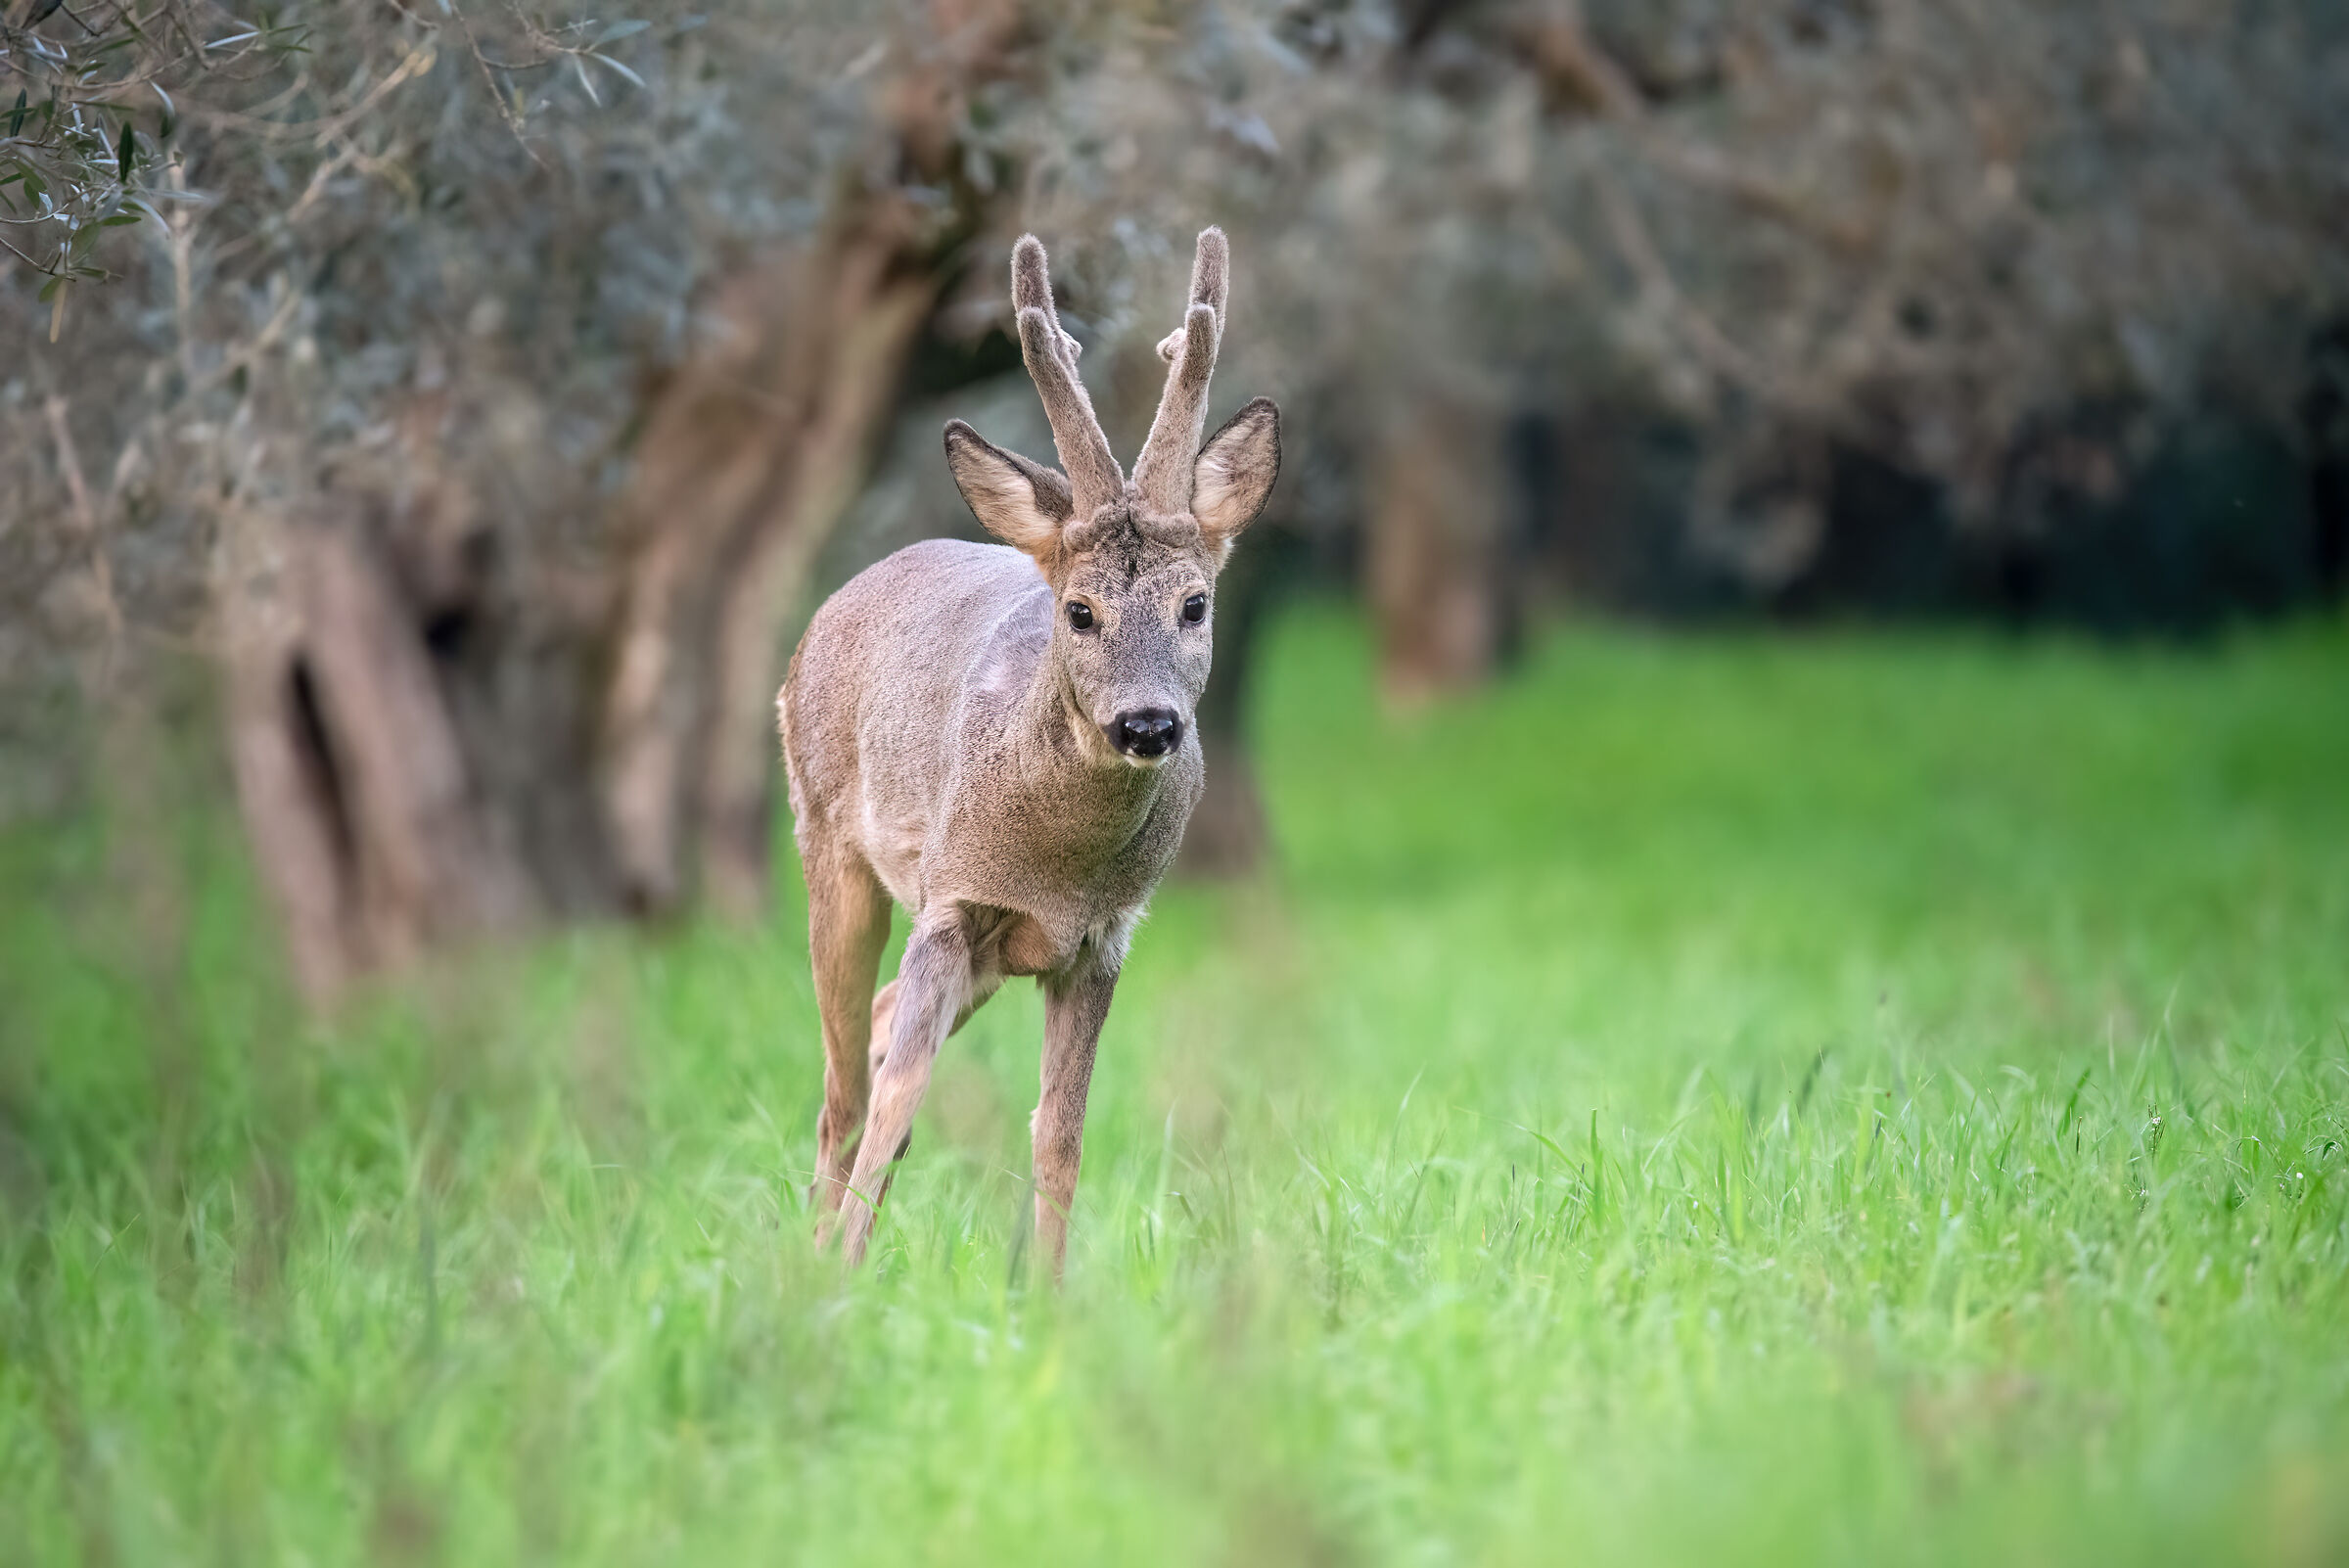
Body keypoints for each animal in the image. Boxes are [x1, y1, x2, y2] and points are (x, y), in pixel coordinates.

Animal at [778, 228, 1281, 1272]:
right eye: (1079, 611)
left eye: (1195, 604)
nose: (1147, 725)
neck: (1057, 863)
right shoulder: (951, 899)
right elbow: (898, 1100)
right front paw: (843, 1279)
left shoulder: (1102, 938)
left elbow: (1060, 1132)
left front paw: (1044, 1292)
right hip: (827, 843)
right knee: (846, 1086)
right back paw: (810, 1258)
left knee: (877, 1031)